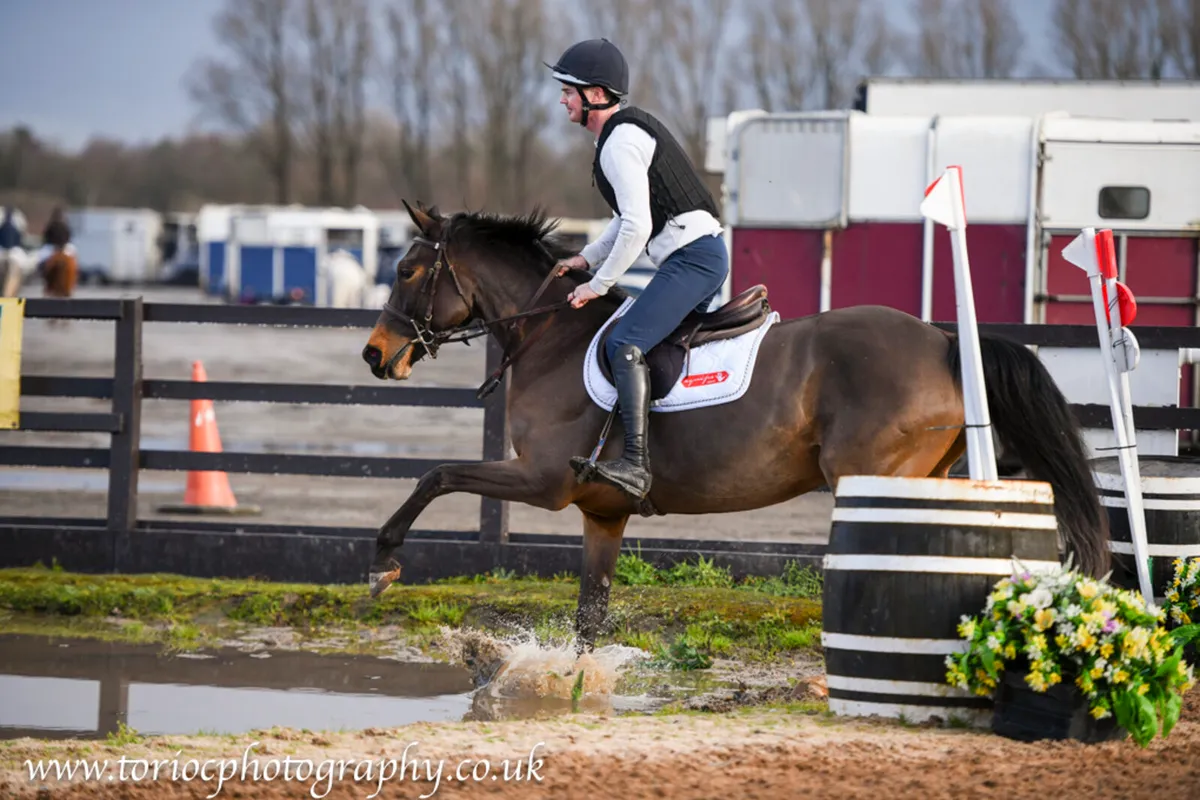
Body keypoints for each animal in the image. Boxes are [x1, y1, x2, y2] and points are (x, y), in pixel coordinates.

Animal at [360, 200, 1110, 651]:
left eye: (408, 269)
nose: (374, 355)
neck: (553, 338)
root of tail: (944, 340)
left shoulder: (543, 482)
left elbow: (437, 475)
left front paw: (384, 561)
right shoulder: (602, 514)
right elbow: (589, 614)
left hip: (871, 478)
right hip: (922, 478)